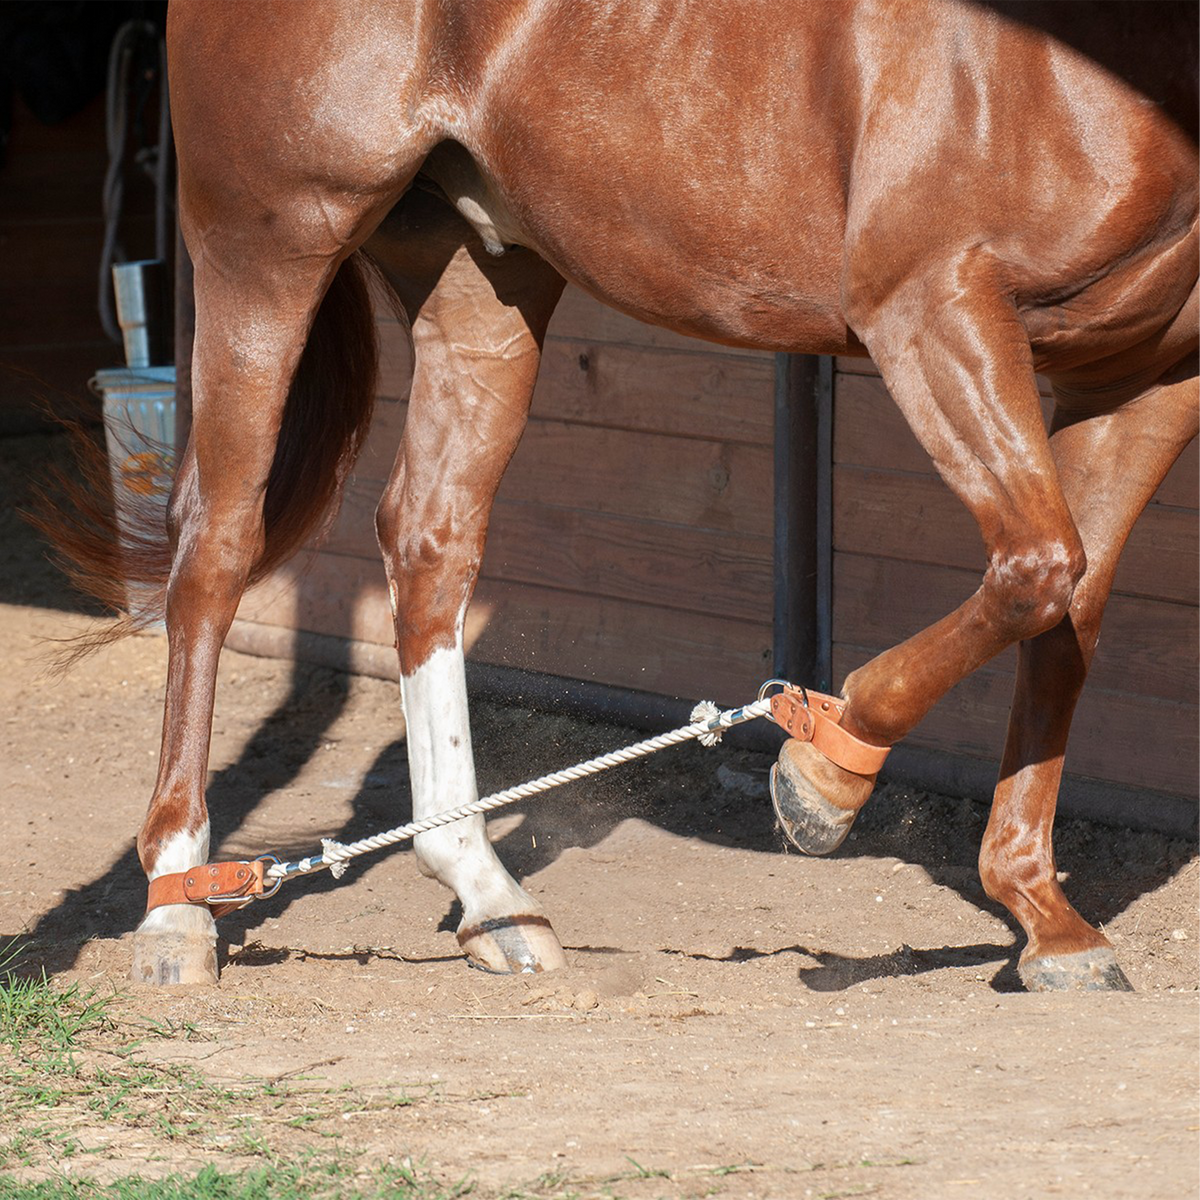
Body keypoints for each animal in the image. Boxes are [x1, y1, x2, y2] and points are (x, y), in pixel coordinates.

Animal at [52, 0, 1200, 992]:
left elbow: (1068, 607)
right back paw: (179, 906)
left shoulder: (1140, 378)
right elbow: (1039, 569)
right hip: (268, 251)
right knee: (214, 547)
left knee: (429, 542)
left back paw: (488, 895)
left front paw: (1046, 920)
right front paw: (822, 778)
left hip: (482, 282)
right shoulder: (932, 306)